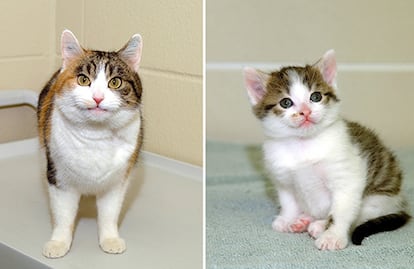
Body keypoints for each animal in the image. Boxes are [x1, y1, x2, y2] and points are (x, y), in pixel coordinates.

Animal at [38, 29, 144, 258]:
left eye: (115, 82)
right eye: (83, 79)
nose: (97, 98)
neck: (96, 136)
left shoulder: (118, 180)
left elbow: (109, 213)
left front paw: (110, 239)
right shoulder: (58, 176)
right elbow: (63, 215)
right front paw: (58, 243)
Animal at [244, 49, 410, 249]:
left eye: (315, 97)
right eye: (286, 102)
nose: (305, 111)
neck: (304, 146)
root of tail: (400, 203)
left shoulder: (347, 178)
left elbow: (340, 210)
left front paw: (332, 235)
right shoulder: (282, 177)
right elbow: (288, 201)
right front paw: (287, 218)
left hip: (378, 199)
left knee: (361, 213)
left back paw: (318, 225)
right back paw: (304, 220)